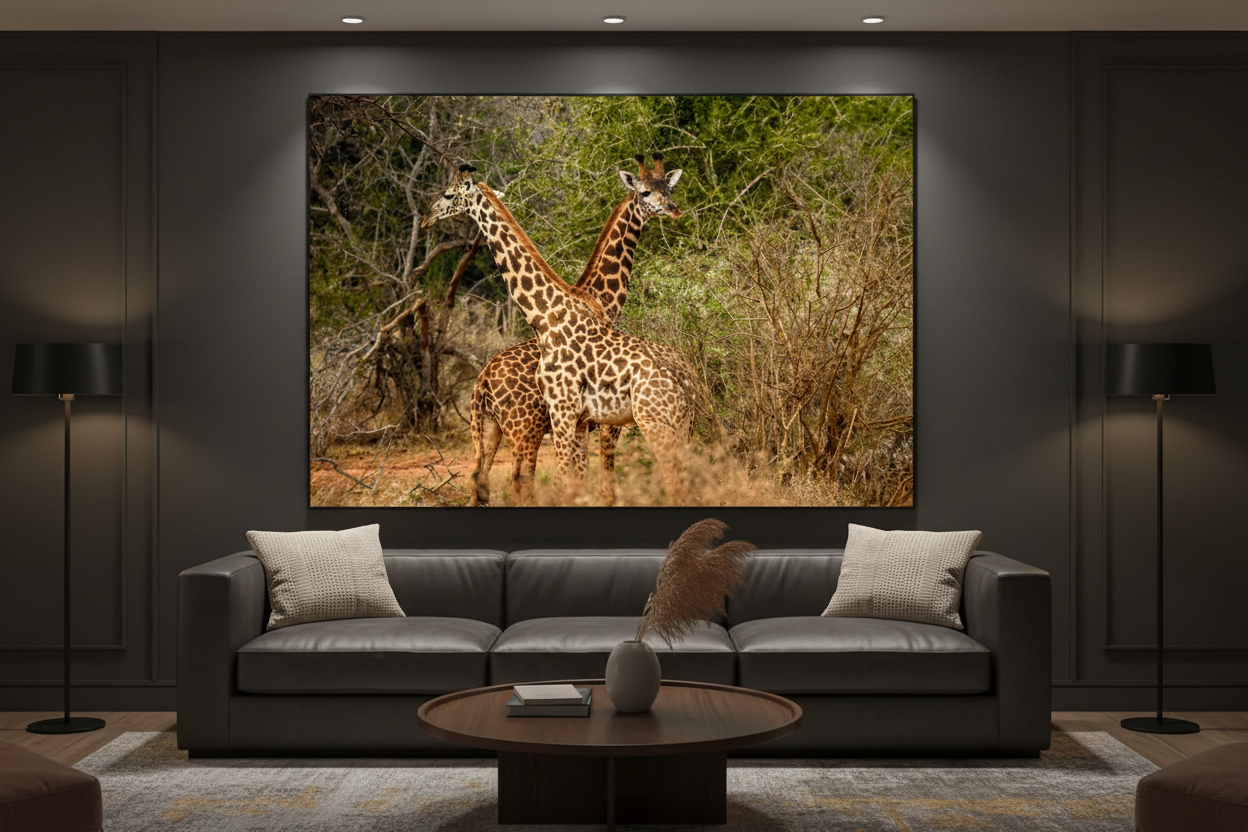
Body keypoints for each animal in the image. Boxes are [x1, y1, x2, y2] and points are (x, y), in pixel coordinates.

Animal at [422, 163, 697, 504]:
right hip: (508, 430)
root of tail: (481, 384)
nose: (428, 217)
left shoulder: (579, 419)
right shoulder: (579, 421)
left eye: (448, 194)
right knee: (495, 484)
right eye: (646, 192)